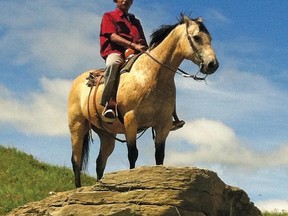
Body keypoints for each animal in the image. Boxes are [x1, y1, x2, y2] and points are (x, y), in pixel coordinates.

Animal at [68, 14, 219, 187]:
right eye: (196, 37)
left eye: (210, 38)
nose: (212, 64)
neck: (152, 75)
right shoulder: (131, 120)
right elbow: (133, 154)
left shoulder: (163, 125)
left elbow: (159, 156)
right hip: (77, 126)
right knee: (76, 161)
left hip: (107, 135)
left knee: (100, 162)